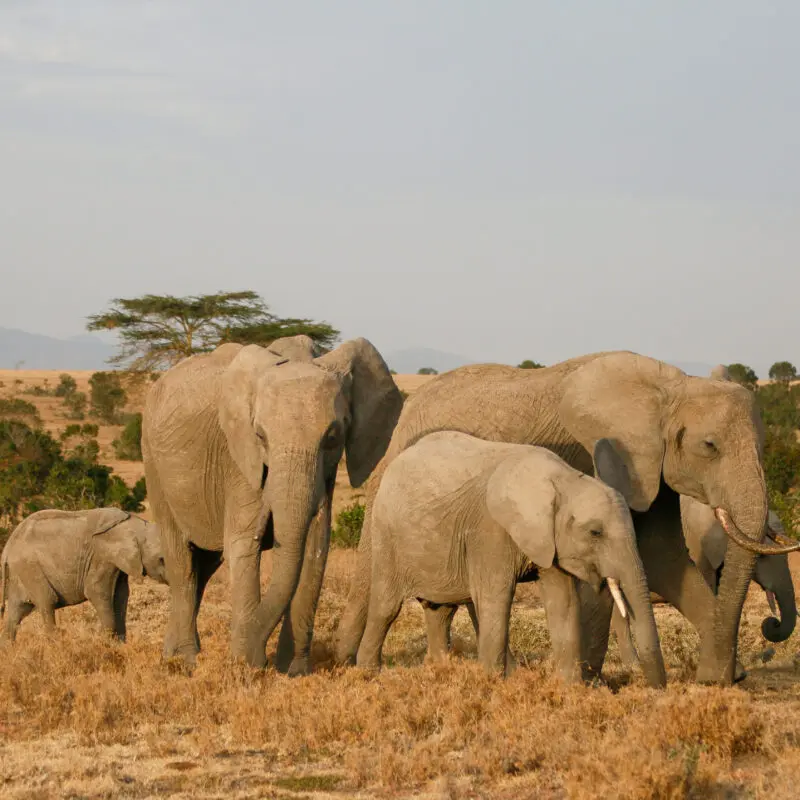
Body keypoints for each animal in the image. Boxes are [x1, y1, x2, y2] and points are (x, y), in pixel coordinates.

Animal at [1, 508, 166, 641]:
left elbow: (121, 595)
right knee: (47, 602)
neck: (136, 525)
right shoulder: (101, 558)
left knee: (16, 613)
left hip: (20, 573)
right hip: (30, 568)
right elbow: (96, 592)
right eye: (161, 560)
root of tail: (7, 547)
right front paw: (109, 646)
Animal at [142, 335, 402, 672]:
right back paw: (188, 660)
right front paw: (247, 667)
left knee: (204, 567)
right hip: (152, 460)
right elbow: (243, 544)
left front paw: (294, 671)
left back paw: (172, 655)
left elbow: (315, 548)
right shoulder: (239, 462)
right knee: (182, 565)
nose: (257, 657)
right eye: (260, 435)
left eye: (332, 437)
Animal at [357, 432, 667, 687]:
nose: (656, 688)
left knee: (441, 610)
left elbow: (562, 602)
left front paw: (570, 689)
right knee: (386, 606)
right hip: (386, 532)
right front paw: (491, 685)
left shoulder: (548, 541)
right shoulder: (490, 529)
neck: (562, 480)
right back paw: (369, 674)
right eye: (595, 532)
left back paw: (438, 670)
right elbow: (496, 597)